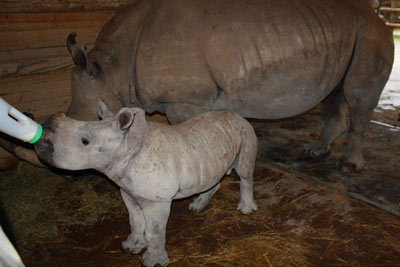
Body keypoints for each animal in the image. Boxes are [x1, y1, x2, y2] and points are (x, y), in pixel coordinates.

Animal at [3, 0, 394, 173]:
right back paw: (315, 153)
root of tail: (380, 15)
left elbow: (187, 137)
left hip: (372, 35)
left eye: (83, 134)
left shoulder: (186, 100)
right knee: (334, 94)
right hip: (347, 34)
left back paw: (349, 166)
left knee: (358, 96)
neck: (112, 68)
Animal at [35, 101, 260, 267]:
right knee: (213, 175)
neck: (128, 145)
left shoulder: (156, 200)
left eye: (84, 141)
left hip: (245, 132)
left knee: (244, 172)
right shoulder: (128, 190)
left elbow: (154, 231)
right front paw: (131, 246)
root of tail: (238, 115)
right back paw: (198, 206)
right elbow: (135, 220)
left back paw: (246, 209)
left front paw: (152, 262)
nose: (42, 140)